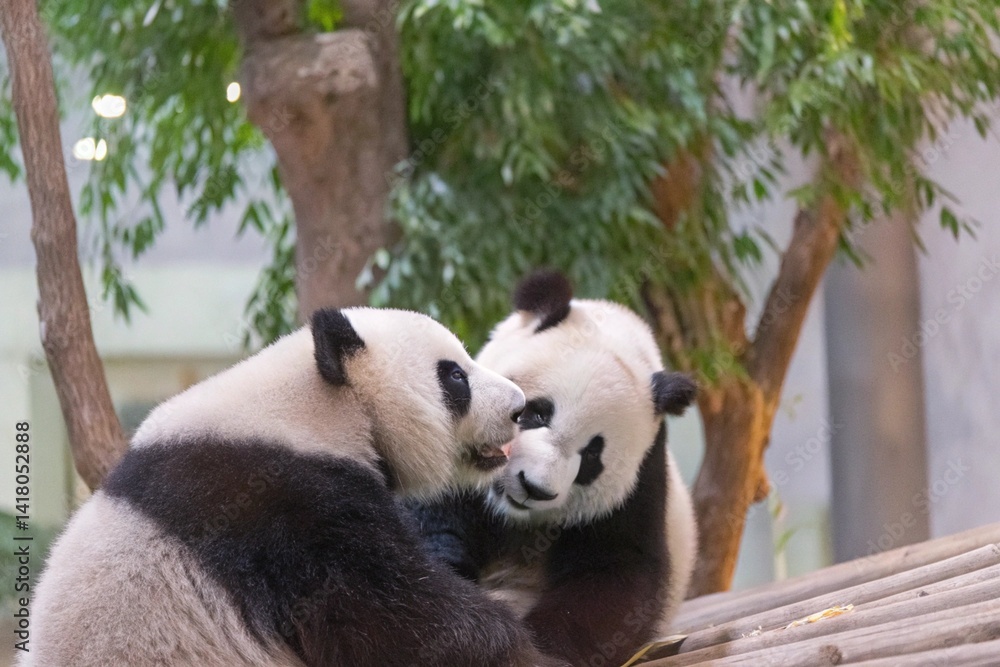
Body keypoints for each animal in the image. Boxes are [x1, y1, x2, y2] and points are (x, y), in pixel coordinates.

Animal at [412, 272, 699, 667]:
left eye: (592, 457)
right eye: (535, 413)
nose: (533, 487)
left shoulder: (641, 484)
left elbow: (614, 577)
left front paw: (539, 644)